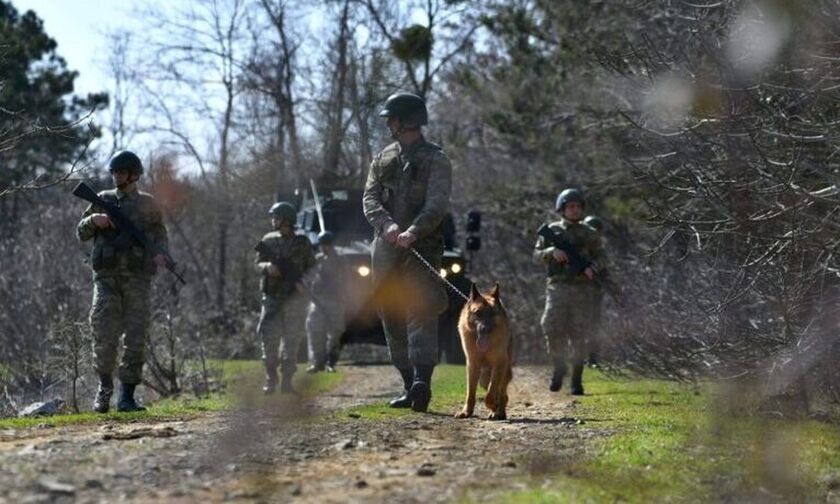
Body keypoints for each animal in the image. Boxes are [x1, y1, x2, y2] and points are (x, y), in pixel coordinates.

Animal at [456, 284, 516, 422]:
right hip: (483, 378)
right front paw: (466, 412)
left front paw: (493, 406)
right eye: (478, 312)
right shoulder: (472, 365)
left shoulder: (499, 364)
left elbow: (490, 393)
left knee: (502, 394)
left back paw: (498, 412)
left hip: (503, 372)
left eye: (492, 313)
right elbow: (470, 393)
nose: (485, 329)